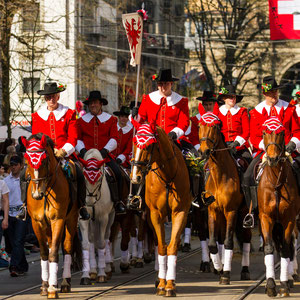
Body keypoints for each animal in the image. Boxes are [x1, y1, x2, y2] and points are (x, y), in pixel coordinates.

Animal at [22, 135, 79, 298]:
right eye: (26, 160)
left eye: (45, 160)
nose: (36, 194)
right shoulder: (37, 223)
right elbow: (44, 253)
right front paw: (44, 286)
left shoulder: (58, 220)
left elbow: (54, 252)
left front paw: (52, 288)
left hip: (71, 219)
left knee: (67, 247)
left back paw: (65, 282)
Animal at [78, 149, 114, 284]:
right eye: (83, 179)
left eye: (98, 180)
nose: (88, 202)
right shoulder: (83, 218)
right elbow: (86, 244)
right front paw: (85, 275)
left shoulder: (103, 218)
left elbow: (101, 243)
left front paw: (102, 274)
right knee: (92, 239)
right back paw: (93, 270)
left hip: (111, 216)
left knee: (107, 237)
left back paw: (107, 268)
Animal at [131, 123, 191, 296]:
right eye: (134, 144)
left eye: (148, 146)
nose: (135, 177)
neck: (168, 175)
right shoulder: (155, 214)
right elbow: (162, 247)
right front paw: (163, 283)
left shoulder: (180, 213)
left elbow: (172, 247)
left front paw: (170, 284)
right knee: (158, 243)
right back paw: (159, 277)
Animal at [198, 105, 252, 284]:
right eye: (199, 125)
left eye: (215, 126)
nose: (204, 152)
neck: (220, 176)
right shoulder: (212, 211)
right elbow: (213, 243)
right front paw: (219, 268)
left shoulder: (231, 211)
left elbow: (228, 242)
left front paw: (226, 273)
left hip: (244, 214)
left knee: (246, 239)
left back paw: (245, 271)